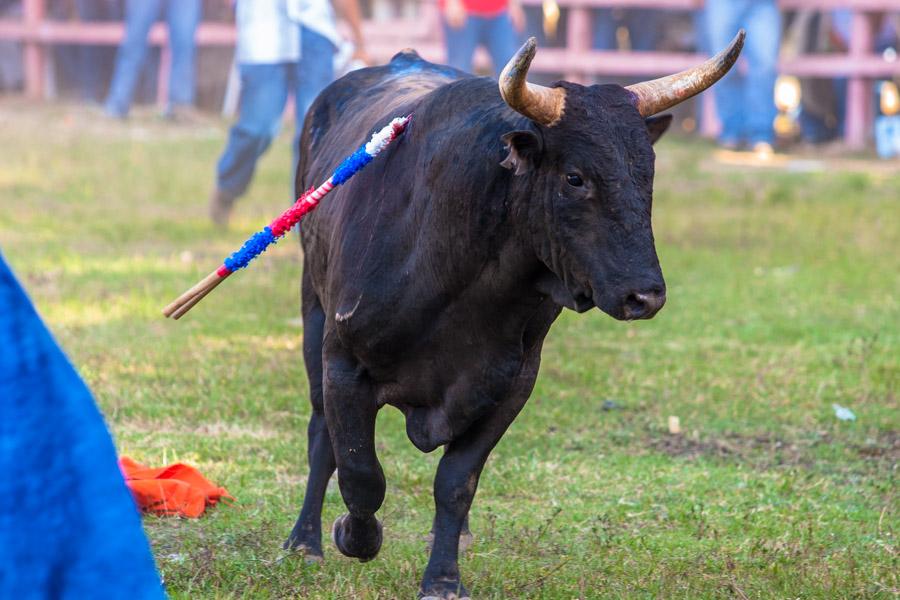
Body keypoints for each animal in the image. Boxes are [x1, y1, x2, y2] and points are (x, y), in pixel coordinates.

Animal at [284, 37, 740, 600]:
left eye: (647, 174)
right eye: (575, 177)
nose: (645, 296)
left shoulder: (511, 386)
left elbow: (456, 483)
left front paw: (443, 578)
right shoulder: (343, 362)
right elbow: (359, 471)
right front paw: (353, 535)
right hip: (312, 313)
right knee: (321, 436)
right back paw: (304, 540)